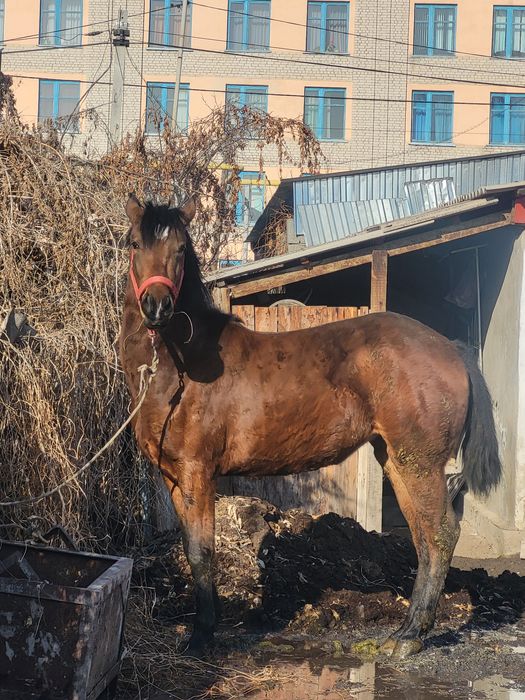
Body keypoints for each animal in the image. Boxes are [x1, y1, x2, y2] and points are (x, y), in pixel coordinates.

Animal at [119, 194, 501, 659]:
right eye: (135, 243)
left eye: (179, 249)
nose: (157, 307)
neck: (182, 366)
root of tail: (451, 347)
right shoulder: (175, 478)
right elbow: (193, 552)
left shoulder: (197, 474)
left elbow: (201, 552)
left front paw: (202, 636)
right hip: (398, 463)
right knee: (423, 536)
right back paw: (406, 629)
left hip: (420, 464)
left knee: (441, 533)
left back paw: (412, 636)